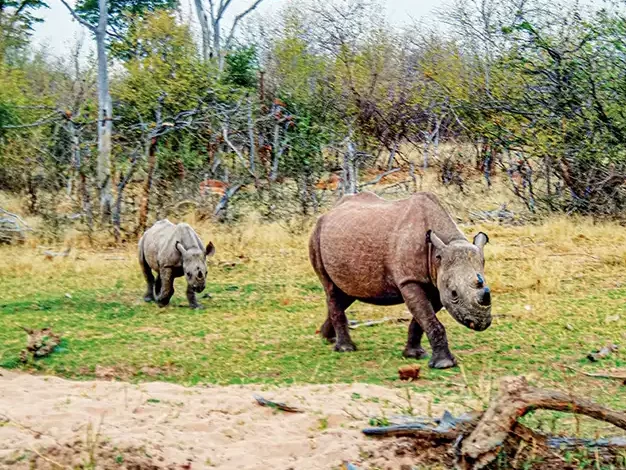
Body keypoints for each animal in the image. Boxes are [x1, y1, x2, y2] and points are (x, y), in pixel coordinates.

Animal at [310, 191, 490, 368]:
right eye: (454, 293)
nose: (480, 323)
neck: (439, 252)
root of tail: (328, 212)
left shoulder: (436, 284)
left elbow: (421, 320)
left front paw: (414, 354)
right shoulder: (409, 280)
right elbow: (428, 318)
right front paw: (444, 364)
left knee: (347, 293)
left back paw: (327, 338)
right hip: (316, 235)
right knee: (331, 290)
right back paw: (345, 348)